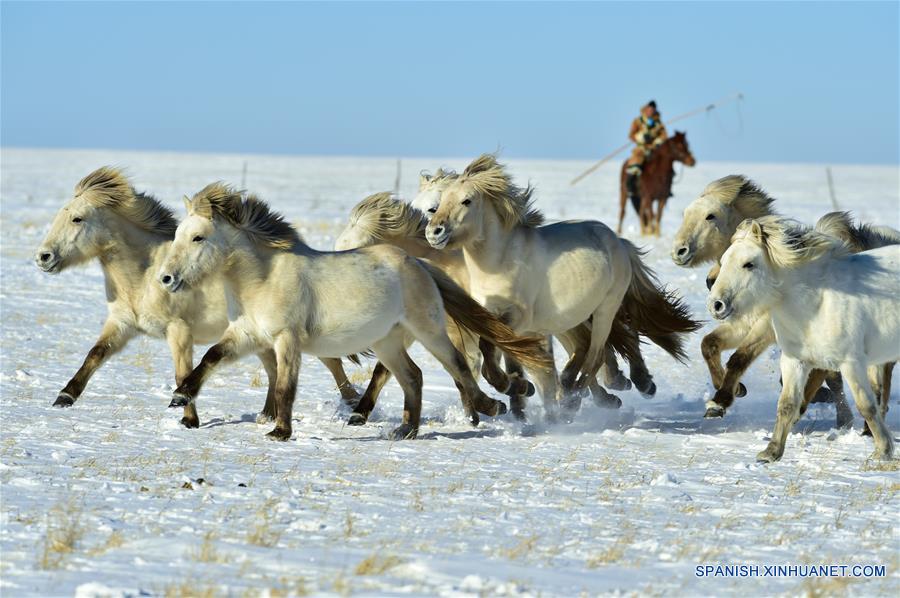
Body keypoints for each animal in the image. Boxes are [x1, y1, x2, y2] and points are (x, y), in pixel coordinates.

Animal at [35, 166, 358, 428]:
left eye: (77, 219)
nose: (43, 257)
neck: (145, 275)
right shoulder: (122, 325)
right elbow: (95, 354)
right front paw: (64, 396)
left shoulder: (179, 331)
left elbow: (182, 374)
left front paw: (188, 418)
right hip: (259, 338)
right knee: (274, 369)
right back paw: (267, 415)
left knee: (333, 364)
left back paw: (353, 407)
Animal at [159, 183, 552, 440]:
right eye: (177, 235)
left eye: (198, 237)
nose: (166, 278)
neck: (262, 279)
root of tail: (418, 263)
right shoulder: (247, 335)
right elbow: (210, 357)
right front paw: (181, 397)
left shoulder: (287, 340)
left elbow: (285, 386)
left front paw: (280, 432)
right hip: (386, 341)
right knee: (412, 376)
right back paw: (405, 429)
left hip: (428, 330)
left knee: (456, 366)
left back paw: (491, 407)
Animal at [426, 154, 700, 422]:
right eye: (438, 203)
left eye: (467, 201)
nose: (434, 232)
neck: (499, 261)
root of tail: (618, 241)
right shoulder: (491, 314)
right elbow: (499, 352)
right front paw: (516, 388)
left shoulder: (518, 317)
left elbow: (492, 348)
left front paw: (512, 388)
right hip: (573, 315)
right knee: (587, 348)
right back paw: (575, 387)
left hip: (604, 310)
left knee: (595, 354)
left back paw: (575, 400)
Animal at [712, 217, 900, 464]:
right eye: (724, 261)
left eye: (748, 264)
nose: (716, 304)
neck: (817, 303)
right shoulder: (794, 361)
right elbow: (787, 404)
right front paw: (771, 452)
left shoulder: (851, 363)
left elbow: (867, 406)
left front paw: (882, 451)